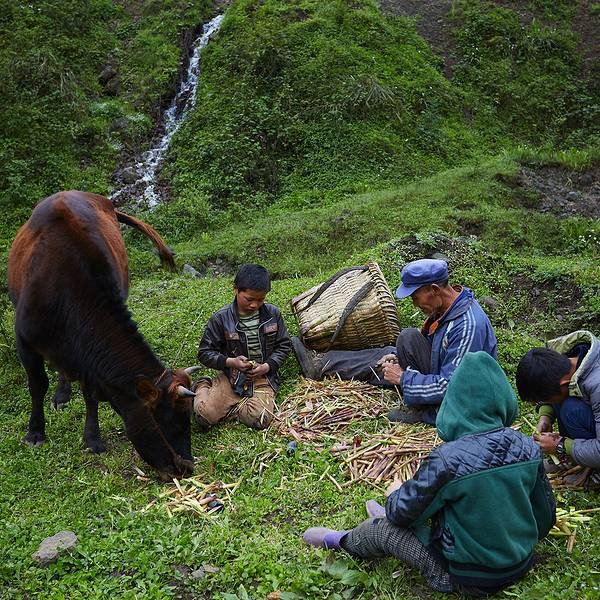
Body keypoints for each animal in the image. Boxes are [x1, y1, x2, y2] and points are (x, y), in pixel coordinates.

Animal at [8, 190, 196, 480]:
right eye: (171, 425)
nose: (186, 467)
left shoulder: (89, 354)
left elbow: (91, 395)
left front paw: (92, 438)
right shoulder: (25, 341)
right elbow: (37, 385)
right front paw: (35, 432)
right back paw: (61, 396)